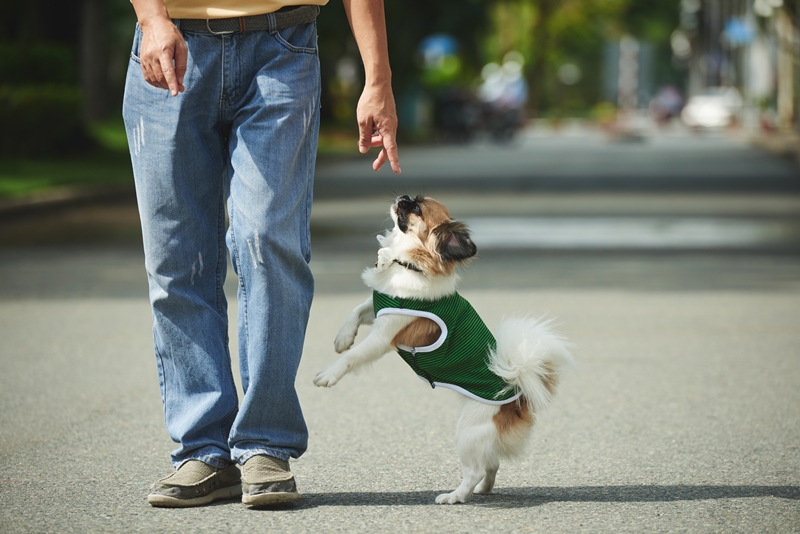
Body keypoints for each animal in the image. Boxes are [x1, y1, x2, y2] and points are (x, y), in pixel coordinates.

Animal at [312, 195, 576, 504]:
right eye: (412, 199)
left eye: (416, 208)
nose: (403, 197)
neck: (406, 263)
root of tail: (518, 393)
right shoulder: (380, 306)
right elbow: (357, 310)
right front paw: (342, 338)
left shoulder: (384, 336)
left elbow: (353, 357)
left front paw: (328, 374)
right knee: (492, 463)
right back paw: (484, 489)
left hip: (468, 431)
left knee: (475, 469)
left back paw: (455, 496)